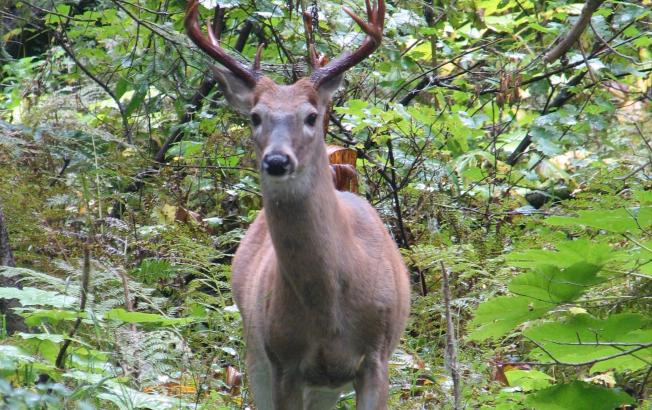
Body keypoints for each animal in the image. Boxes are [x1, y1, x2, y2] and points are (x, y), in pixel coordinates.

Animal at [183, 1, 410, 408]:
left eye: (311, 116)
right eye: (255, 117)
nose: (276, 160)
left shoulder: (377, 356)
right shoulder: (283, 361)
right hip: (257, 353)